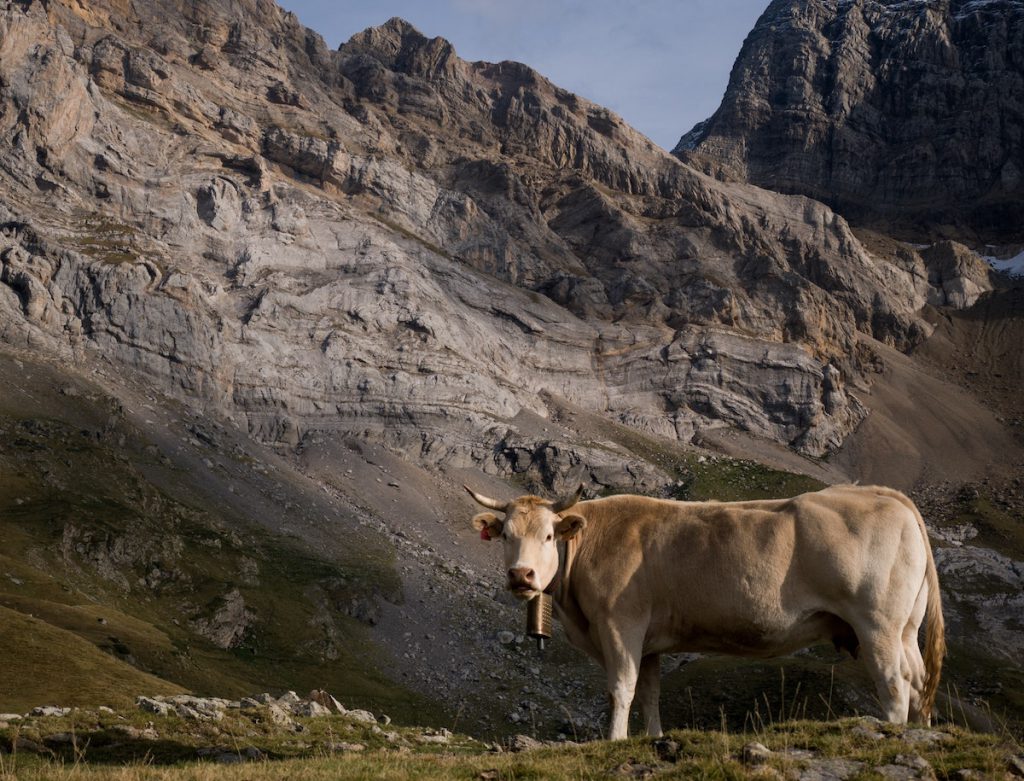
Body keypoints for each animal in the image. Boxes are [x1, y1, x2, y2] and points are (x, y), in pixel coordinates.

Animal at [464, 479, 942, 741]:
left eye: (548, 536)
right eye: (505, 534)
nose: (521, 575)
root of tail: (887, 495)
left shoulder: (621, 625)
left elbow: (621, 689)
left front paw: (614, 740)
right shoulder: (650, 642)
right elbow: (649, 694)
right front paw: (651, 739)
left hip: (877, 625)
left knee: (894, 684)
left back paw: (894, 733)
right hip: (905, 629)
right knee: (919, 682)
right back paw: (922, 732)